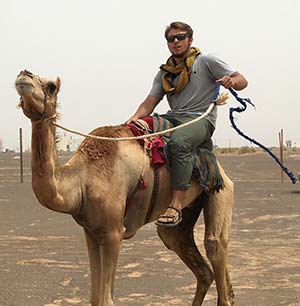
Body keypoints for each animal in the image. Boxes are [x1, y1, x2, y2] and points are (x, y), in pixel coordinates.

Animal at [14, 70, 234, 306]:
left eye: (51, 86)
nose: (24, 74)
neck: (82, 178)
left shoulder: (113, 231)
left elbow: (106, 300)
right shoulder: (90, 231)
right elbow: (94, 298)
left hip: (220, 191)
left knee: (214, 247)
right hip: (185, 213)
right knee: (191, 257)